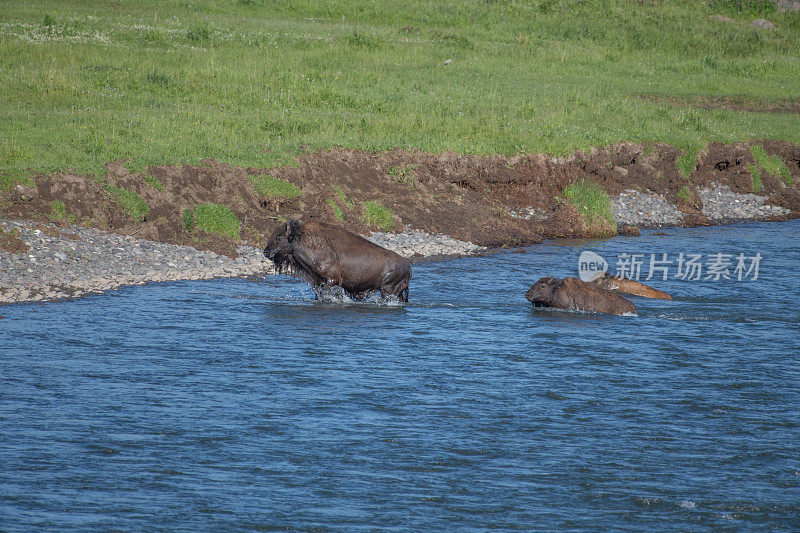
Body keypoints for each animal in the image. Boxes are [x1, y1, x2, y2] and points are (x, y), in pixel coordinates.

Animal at [264, 218, 412, 302]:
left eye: (279, 238)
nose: (265, 252)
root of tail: (408, 266)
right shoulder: (317, 281)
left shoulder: (332, 279)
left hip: (387, 290)